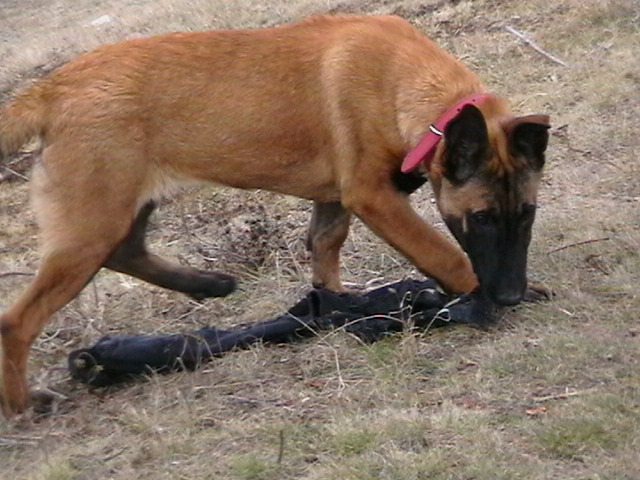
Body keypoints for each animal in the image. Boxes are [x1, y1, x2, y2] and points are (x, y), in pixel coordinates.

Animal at [0, 13, 552, 414]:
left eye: (527, 214)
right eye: (482, 219)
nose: (510, 293)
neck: (402, 83)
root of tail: (51, 88)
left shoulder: (336, 200)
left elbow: (324, 251)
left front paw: (332, 307)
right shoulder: (372, 197)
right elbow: (443, 254)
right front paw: (477, 296)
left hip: (118, 210)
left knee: (126, 251)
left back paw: (206, 283)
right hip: (93, 222)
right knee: (18, 321)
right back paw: (25, 405)